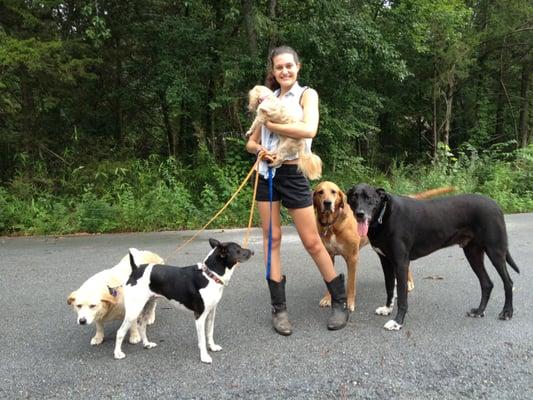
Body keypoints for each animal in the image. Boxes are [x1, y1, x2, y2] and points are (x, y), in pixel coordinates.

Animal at [112, 239, 254, 364]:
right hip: (134, 310)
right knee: (120, 332)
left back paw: (147, 344)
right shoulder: (199, 317)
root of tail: (136, 270)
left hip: (148, 305)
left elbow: (210, 332)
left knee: (141, 324)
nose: (252, 252)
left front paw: (212, 347)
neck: (209, 275)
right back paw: (118, 353)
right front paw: (204, 357)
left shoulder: (211, 313)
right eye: (238, 249)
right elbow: (202, 339)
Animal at [314, 182, 456, 312]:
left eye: (333, 191)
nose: (327, 203)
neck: (332, 225)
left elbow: (351, 283)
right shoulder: (329, 255)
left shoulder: (352, 258)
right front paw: (328, 298)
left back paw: (408, 282)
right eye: (320, 192)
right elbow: (331, 278)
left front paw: (350, 302)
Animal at [344, 184, 520, 332]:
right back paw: (479, 311)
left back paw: (507, 312)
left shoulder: (401, 263)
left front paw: (398, 322)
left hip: (495, 251)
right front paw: (387, 309)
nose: (360, 214)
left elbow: (402, 297)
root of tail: (495, 205)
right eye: (353, 198)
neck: (385, 216)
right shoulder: (386, 261)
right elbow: (389, 288)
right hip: (473, 253)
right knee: (487, 283)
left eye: (370, 198)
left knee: (508, 282)